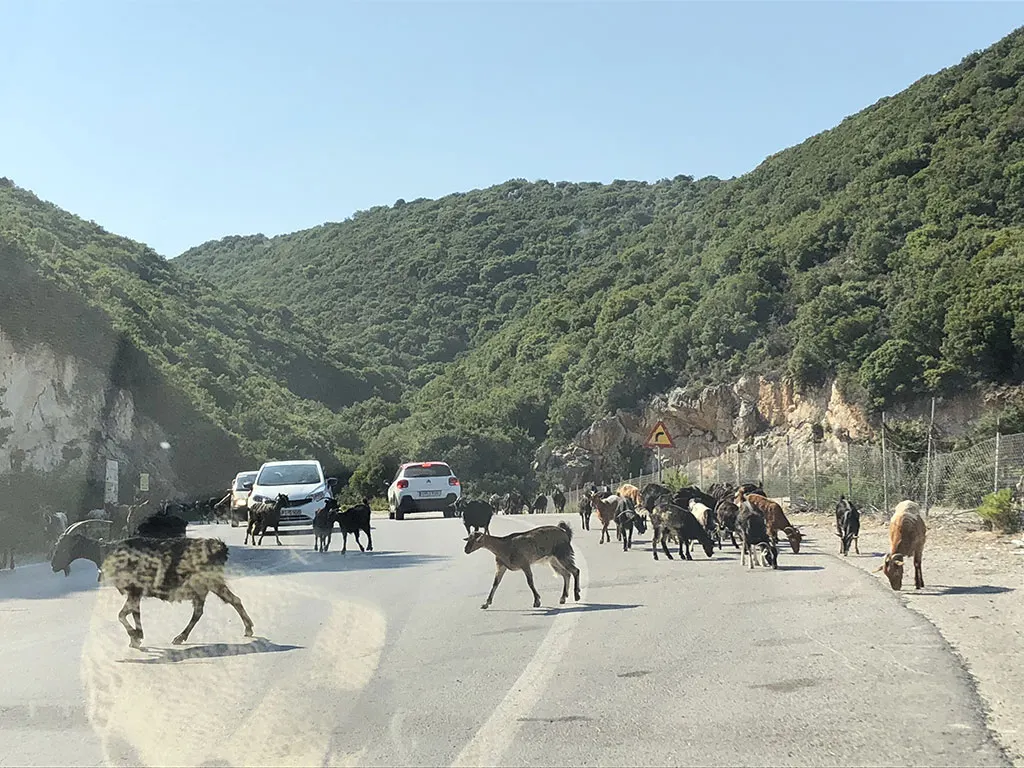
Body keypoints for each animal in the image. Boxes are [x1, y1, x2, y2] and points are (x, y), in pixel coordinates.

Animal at [50, 534, 254, 647]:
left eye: (63, 547)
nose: (53, 566)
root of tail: (219, 547)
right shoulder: (136, 593)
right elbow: (134, 613)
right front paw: (137, 637)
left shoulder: (134, 590)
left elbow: (122, 614)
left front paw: (135, 636)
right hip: (204, 585)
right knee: (204, 609)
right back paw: (181, 637)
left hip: (208, 581)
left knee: (230, 601)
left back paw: (248, 628)